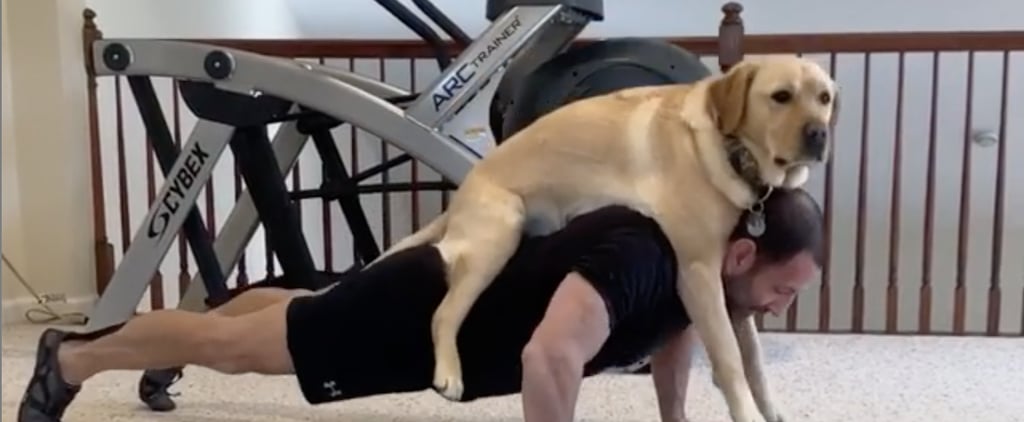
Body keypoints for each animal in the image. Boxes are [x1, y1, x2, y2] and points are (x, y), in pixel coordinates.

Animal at [372, 54, 835, 419]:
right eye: (781, 96)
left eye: (825, 98)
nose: (819, 134)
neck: (730, 148)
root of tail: (457, 204)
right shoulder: (699, 271)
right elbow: (732, 361)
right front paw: (746, 412)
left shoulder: (729, 293)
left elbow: (754, 360)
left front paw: (771, 410)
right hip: (502, 230)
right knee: (444, 313)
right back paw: (449, 373)